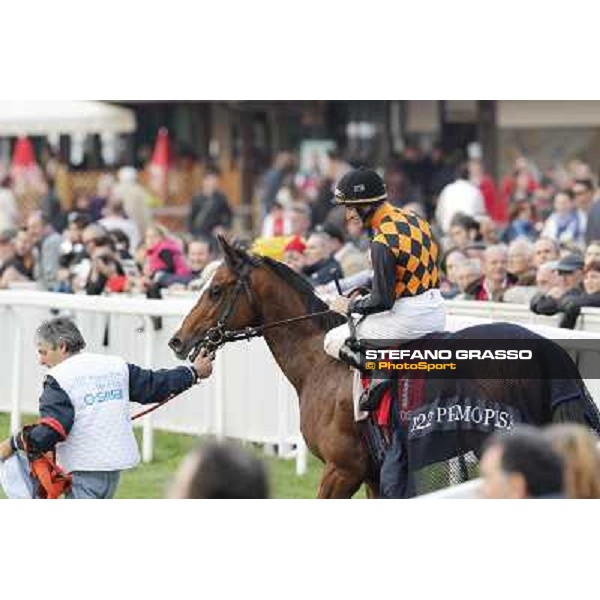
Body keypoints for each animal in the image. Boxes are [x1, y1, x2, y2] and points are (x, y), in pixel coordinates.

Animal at [168, 238, 600, 496]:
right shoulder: (375, 472)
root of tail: (552, 353)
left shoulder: (343, 469)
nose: (178, 340)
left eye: (215, 289)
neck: (321, 364)